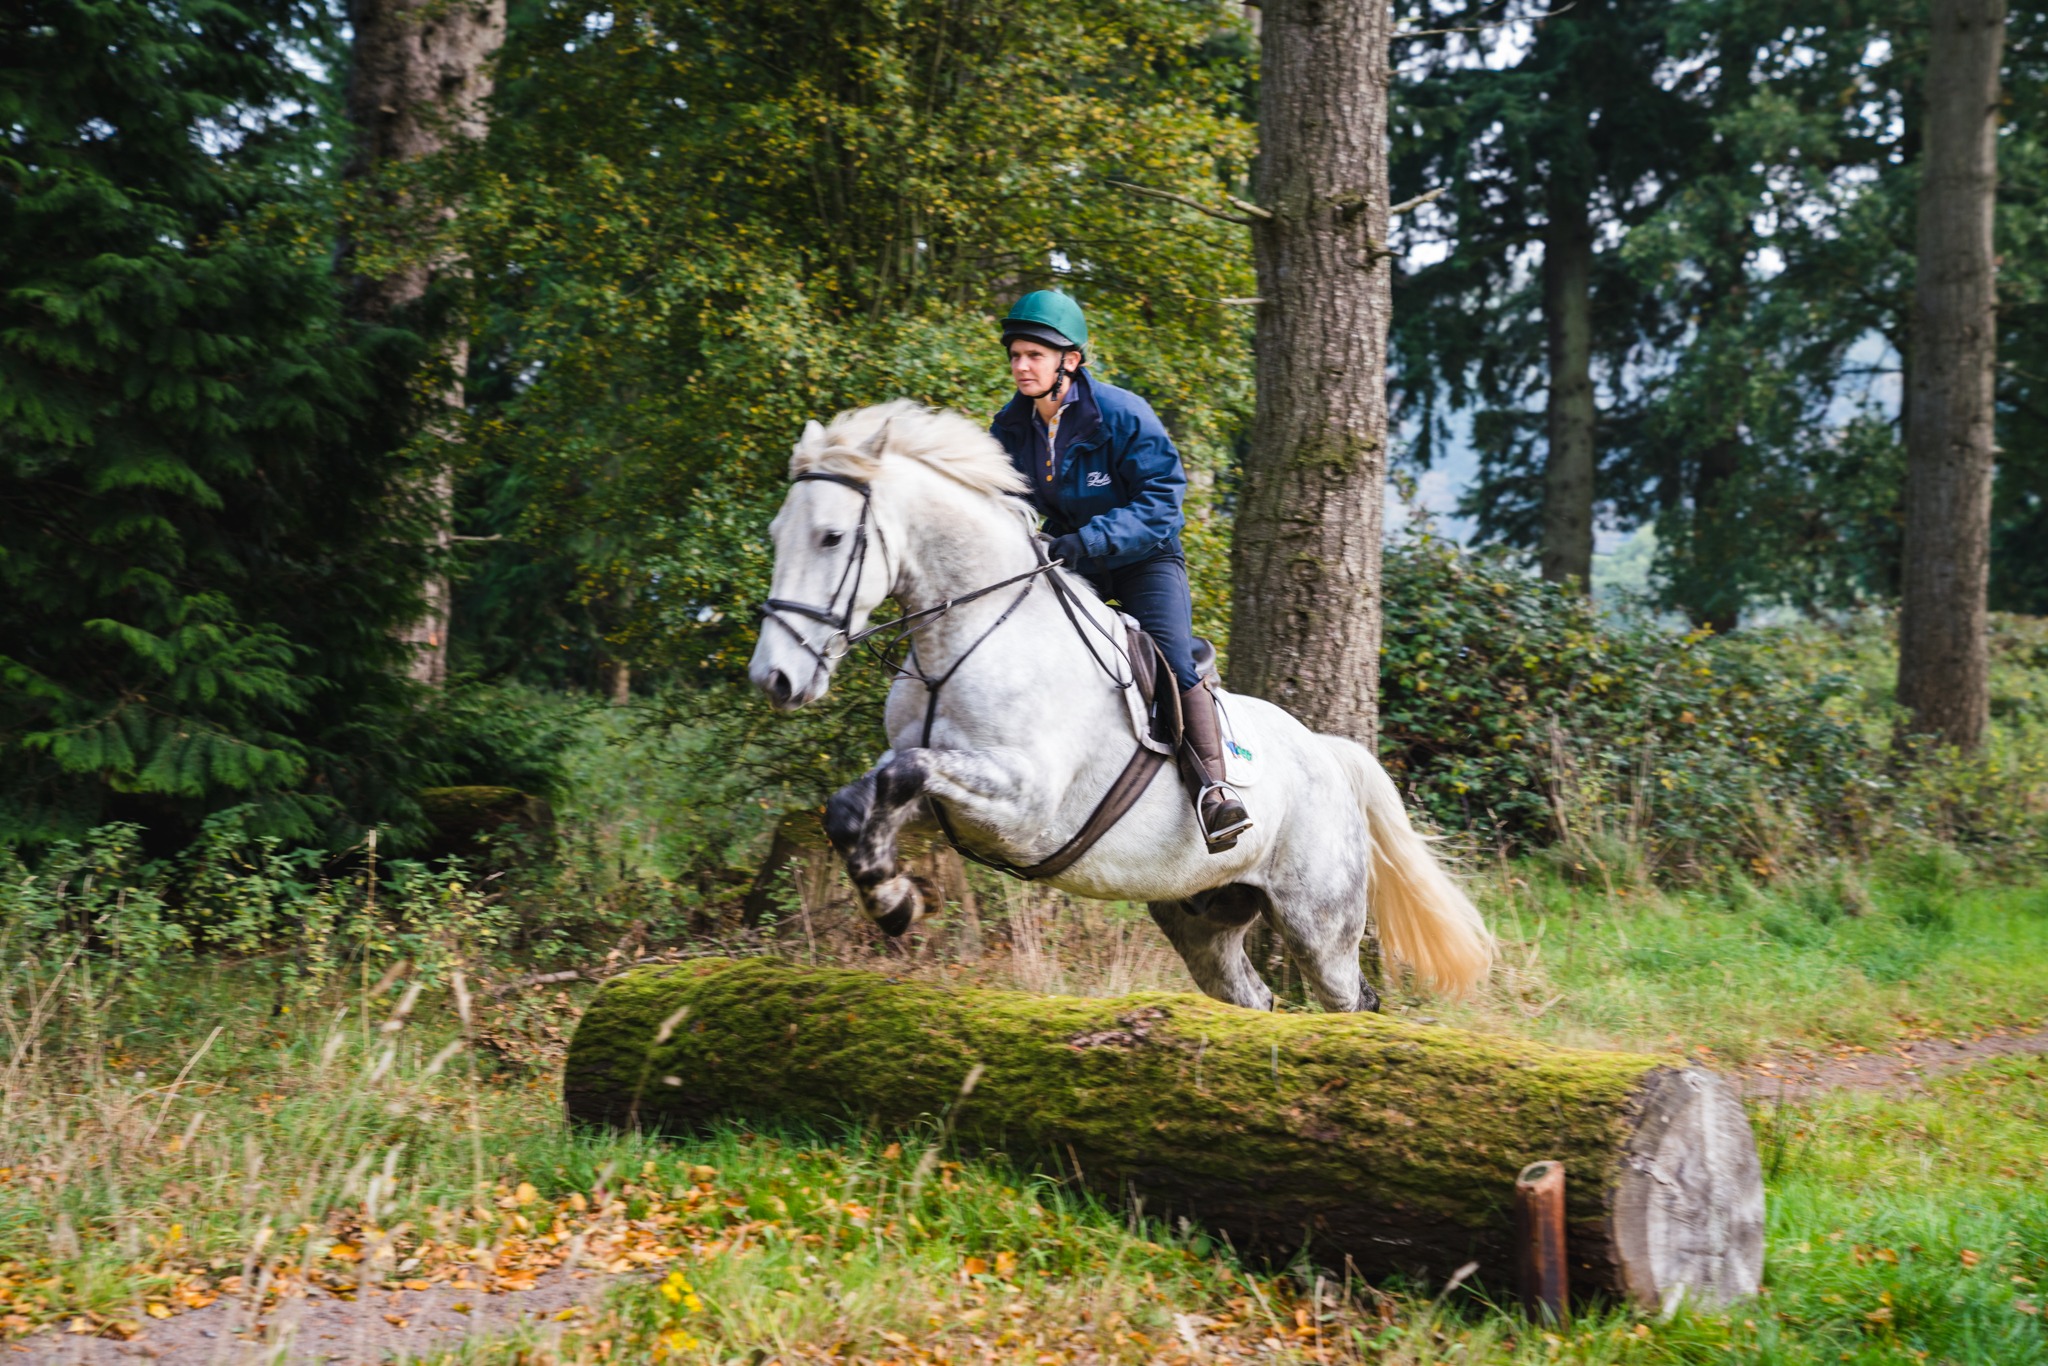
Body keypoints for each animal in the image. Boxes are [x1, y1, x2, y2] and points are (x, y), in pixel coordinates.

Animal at [747, 400, 1492, 1012]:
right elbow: (862, 800)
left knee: (1350, 999)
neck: (969, 632)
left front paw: (896, 901)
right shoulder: (939, 789)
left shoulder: (1023, 805)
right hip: (1200, 914)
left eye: (831, 537)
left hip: (1319, 919)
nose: (774, 678)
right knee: (1251, 995)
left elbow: (906, 775)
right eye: (778, 532)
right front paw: (892, 896)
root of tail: (1330, 755)